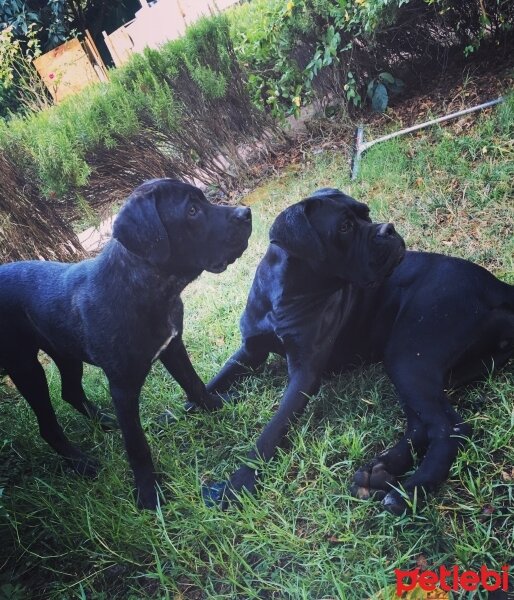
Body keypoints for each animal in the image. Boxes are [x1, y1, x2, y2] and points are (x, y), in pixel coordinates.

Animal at [0, 177, 251, 506]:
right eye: (192, 211)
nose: (246, 213)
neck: (148, 288)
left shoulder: (173, 347)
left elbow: (194, 384)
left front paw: (217, 406)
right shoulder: (122, 387)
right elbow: (137, 444)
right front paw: (148, 494)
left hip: (65, 352)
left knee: (71, 392)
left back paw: (105, 423)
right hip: (26, 367)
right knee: (48, 424)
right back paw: (82, 464)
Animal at [203, 189, 512, 516]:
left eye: (366, 213)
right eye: (344, 227)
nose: (388, 229)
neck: (285, 293)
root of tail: (495, 285)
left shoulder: (304, 374)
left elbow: (273, 428)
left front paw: (237, 483)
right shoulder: (250, 352)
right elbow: (212, 383)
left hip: (408, 355)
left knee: (448, 428)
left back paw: (408, 492)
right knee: (422, 424)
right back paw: (381, 470)